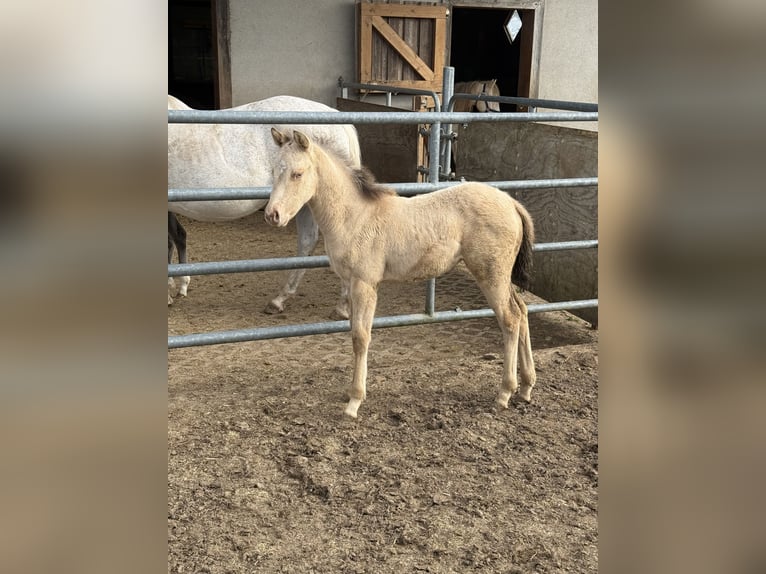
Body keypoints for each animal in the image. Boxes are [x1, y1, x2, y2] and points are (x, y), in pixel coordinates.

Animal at [264, 128, 536, 418]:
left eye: (298, 173)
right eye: (275, 171)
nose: (272, 215)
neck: (355, 217)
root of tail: (511, 203)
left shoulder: (364, 284)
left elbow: (361, 337)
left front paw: (354, 402)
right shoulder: (351, 284)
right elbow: (353, 332)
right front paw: (350, 394)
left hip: (491, 275)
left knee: (510, 320)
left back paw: (505, 392)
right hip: (502, 276)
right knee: (522, 310)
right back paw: (526, 387)